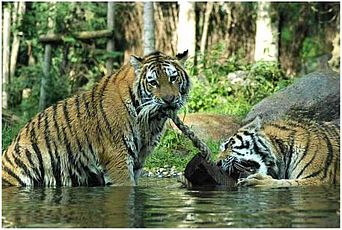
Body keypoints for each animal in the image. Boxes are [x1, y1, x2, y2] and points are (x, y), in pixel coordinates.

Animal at [2, 50, 190, 187]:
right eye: (153, 82)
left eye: (173, 78)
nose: (169, 99)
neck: (151, 120)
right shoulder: (117, 158)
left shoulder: (138, 160)